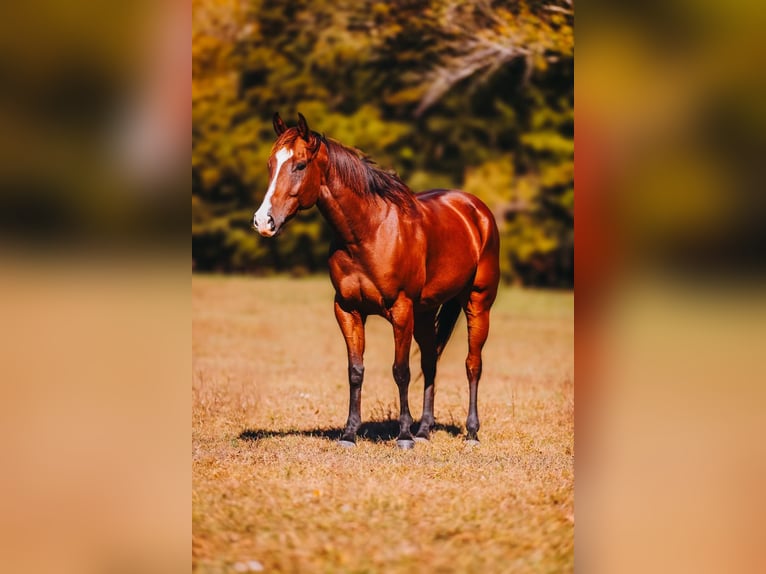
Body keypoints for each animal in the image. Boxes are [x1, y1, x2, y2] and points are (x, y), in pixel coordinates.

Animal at [253, 113, 500, 449]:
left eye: (300, 165)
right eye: (270, 164)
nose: (263, 221)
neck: (367, 231)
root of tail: (477, 211)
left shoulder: (401, 310)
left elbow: (401, 371)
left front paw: (404, 436)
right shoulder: (348, 310)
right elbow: (356, 370)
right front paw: (349, 433)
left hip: (477, 303)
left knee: (472, 364)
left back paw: (471, 432)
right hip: (425, 312)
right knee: (430, 362)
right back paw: (425, 430)